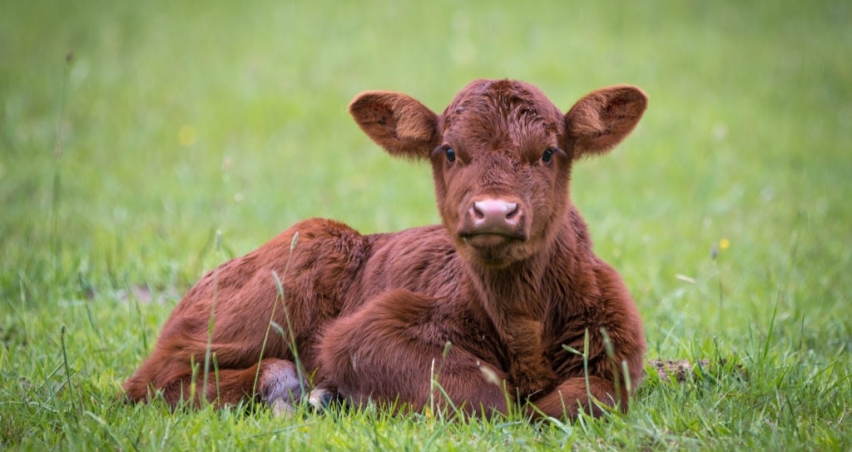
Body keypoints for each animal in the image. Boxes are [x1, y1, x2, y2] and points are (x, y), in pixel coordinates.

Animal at [125, 78, 644, 420]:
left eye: (549, 153)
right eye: (449, 152)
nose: (495, 211)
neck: (521, 324)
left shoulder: (619, 352)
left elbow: (584, 399)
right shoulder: (366, 333)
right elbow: (487, 397)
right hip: (292, 267)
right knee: (147, 383)